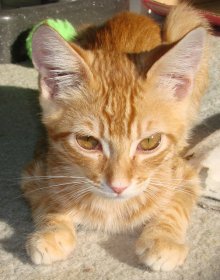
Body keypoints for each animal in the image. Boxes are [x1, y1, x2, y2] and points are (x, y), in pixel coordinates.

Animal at [21, 3, 210, 272]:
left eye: (149, 142)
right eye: (88, 142)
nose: (118, 186)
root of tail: (132, 13)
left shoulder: (187, 175)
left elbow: (175, 205)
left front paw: (163, 238)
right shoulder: (36, 169)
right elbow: (48, 202)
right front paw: (52, 232)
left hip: (186, 19)